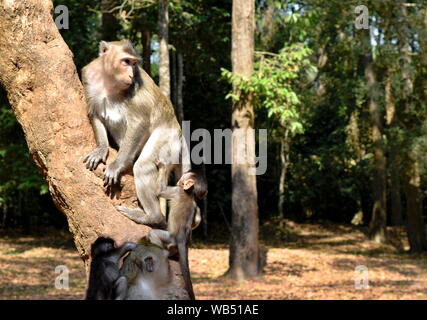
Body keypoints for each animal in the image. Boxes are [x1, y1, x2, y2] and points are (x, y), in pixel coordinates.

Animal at [82, 40, 207, 228]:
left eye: (134, 63)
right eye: (126, 62)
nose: (130, 75)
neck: (109, 80)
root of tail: (179, 132)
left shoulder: (136, 88)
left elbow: (139, 122)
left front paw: (117, 165)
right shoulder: (88, 77)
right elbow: (95, 113)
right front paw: (101, 148)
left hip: (167, 140)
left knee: (143, 166)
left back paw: (153, 217)